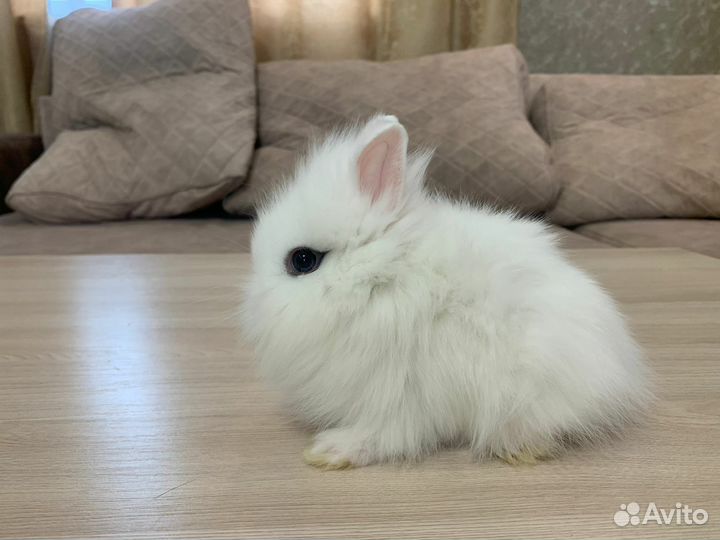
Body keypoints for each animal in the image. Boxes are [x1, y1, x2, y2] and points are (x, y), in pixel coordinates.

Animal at [242, 114, 652, 470]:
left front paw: (330, 451)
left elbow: (386, 434)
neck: (383, 278)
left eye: (303, 260)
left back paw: (519, 449)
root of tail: (621, 363)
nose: (253, 301)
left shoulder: (399, 392)